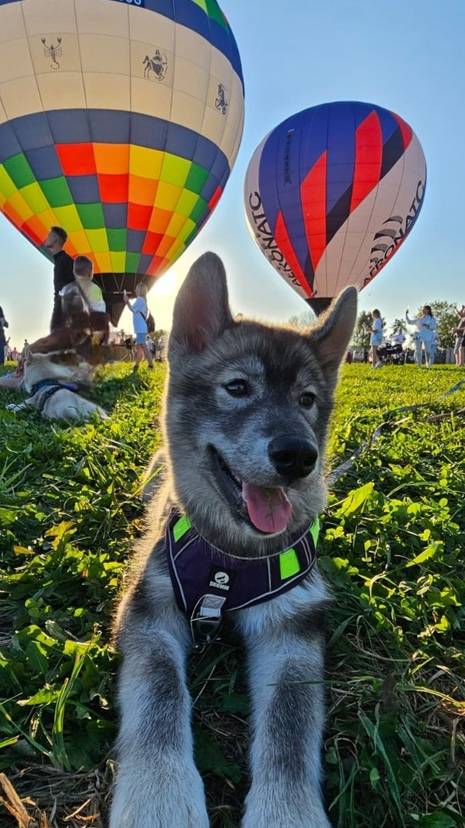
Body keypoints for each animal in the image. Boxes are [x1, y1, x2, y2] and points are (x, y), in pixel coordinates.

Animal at [110, 252, 358, 828]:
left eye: (307, 399)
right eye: (238, 387)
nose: (298, 456)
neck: (231, 557)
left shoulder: (291, 629)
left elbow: (290, 726)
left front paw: (287, 812)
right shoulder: (149, 610)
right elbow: (159, 690)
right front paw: (158, 793)